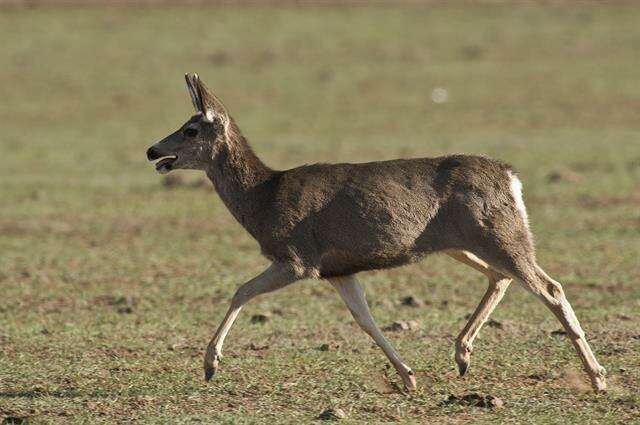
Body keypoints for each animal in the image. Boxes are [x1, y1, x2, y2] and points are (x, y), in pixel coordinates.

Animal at [148, 72, 608, 390]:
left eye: (190, 129)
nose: (153, 151)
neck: (263, 199)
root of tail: (512, 178)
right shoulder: (338, 269)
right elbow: (364, 319)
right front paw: (408, 376)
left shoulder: (298, 257)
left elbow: (240, 291)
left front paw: (210, 364)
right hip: (461, 242)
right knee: (502, 277)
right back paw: (462, 355)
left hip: (498, 233)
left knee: (548, 287)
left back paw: (597, 376)